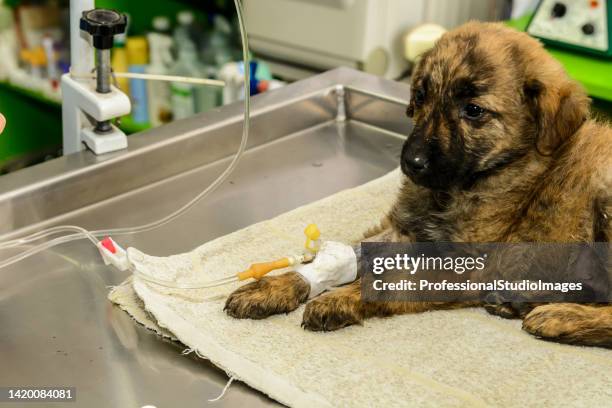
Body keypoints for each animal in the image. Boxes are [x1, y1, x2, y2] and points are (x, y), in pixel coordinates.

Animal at [225, 21, 612, 348]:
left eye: (474, 110)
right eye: (421, 95)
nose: (411, 162)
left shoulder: (466, 265)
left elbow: (389, 281)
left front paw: (340, 299)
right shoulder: (405, 230)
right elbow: (348, 255)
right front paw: (277, 286)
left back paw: (559, 317)